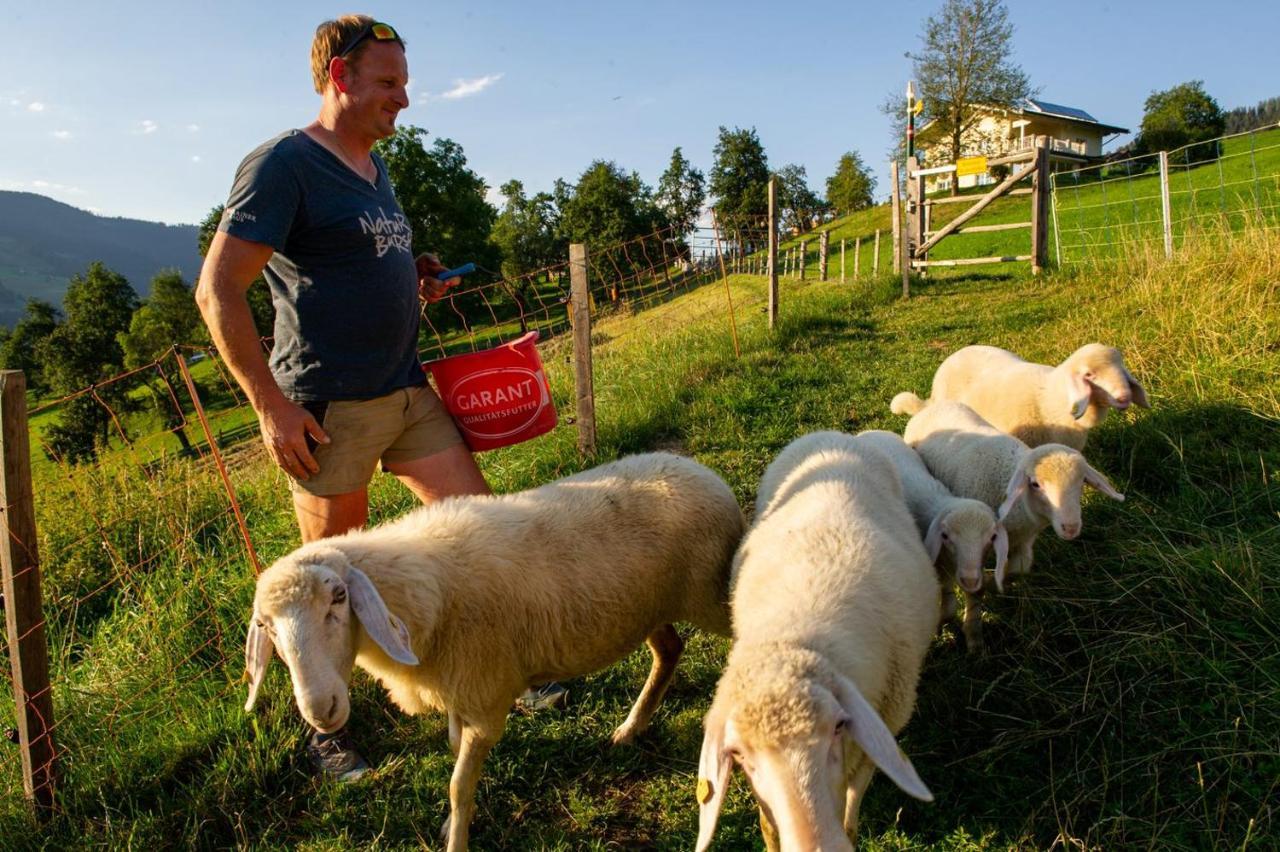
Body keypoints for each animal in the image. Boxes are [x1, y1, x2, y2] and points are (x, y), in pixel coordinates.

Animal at [240, 450, 747, 849]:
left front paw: (456, 839)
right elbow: (453, 748)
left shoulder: (485, 702)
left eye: (339, 596)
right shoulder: (459, 690)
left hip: (707, 595)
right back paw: (631, 727)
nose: (320, 710)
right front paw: (451, 826)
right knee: (669, 649)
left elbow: (458, 785)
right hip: (647, 607)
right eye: (265, 626)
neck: (419, 591)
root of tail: (694, 467)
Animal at [696, 432, 936, 849]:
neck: (793, 631)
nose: (817, 845)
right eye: (738, 754)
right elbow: (768, 824)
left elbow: (852, 808)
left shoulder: (875, 732)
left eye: (839, 725)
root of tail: (836, 436)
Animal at [855, 432, 1003, 644]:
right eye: (945, 536)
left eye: (992, 537)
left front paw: (974, 639)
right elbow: (948, 604)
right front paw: (940, 628)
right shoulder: (939, 567)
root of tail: (872, 431)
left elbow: (973, 598)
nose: (970, 579)